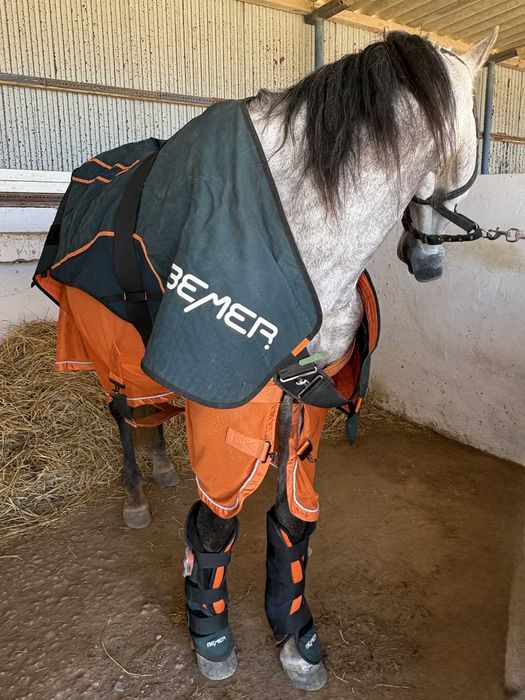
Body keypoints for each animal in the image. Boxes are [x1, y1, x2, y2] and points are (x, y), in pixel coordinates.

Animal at [34, 29, 498, 690]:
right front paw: (210, 635)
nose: (427, 262)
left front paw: (295, 636)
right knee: (124, 414)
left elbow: (294, 520)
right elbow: (216, 524)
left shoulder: (305, 401)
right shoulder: (229, 407)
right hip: (106, 350)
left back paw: (162, 468)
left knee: (150, 414)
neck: (304, 238)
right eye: (475, 151)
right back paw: (136, 496)